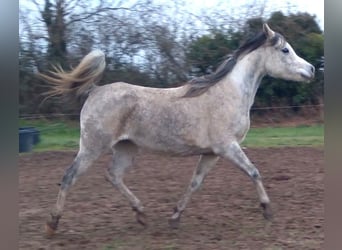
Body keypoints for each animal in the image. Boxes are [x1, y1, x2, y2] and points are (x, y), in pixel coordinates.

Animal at [38, 23, 314, 234]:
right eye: (285, 49)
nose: (311, 69)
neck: (230, 93)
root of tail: (95, 90)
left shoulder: (212, 153)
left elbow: (195, 183)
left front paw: (174, 217)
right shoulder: (227, 147)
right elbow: (254, 172)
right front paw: (268, 211)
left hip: (126, 148)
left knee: (113, 175)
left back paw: (141, 214)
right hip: (92, 146)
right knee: (69, 177)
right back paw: (52, 224)